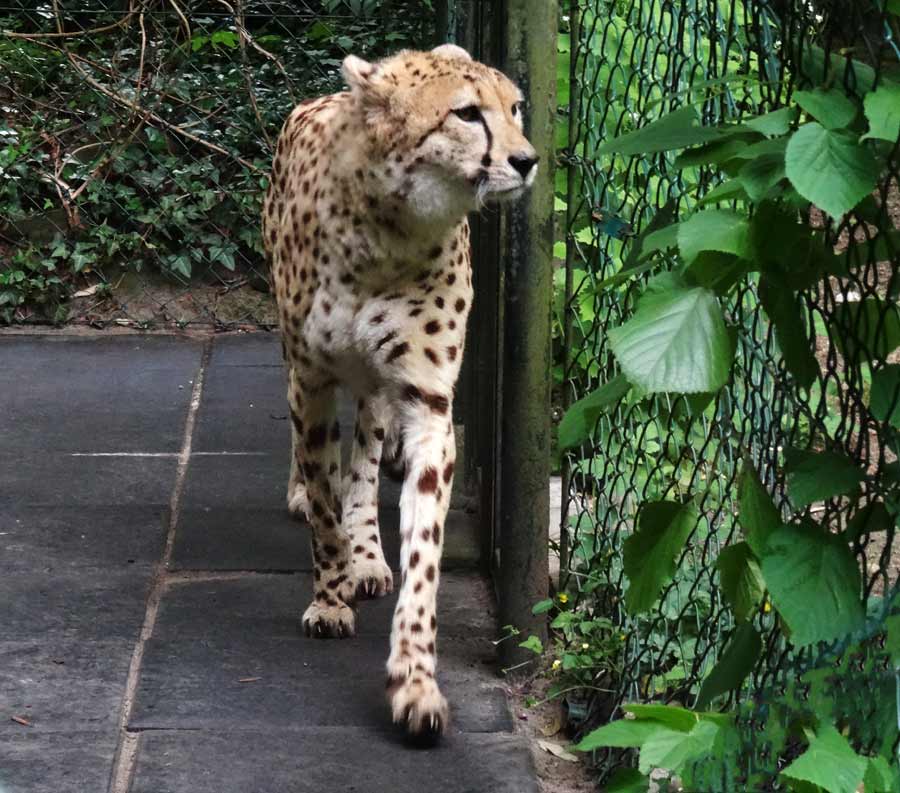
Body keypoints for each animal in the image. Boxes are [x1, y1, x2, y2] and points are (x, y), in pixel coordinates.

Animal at [264, 41, 536, 736]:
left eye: (515, 108)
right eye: (467, 113)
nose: (526, 160)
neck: (391, 230)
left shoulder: (427, 404)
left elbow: (423, 554)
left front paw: (414, 679)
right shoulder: (312, 378)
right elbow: (324, 501)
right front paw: (329, 599)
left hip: (378, 389)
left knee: (365, 452)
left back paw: (368, 555)